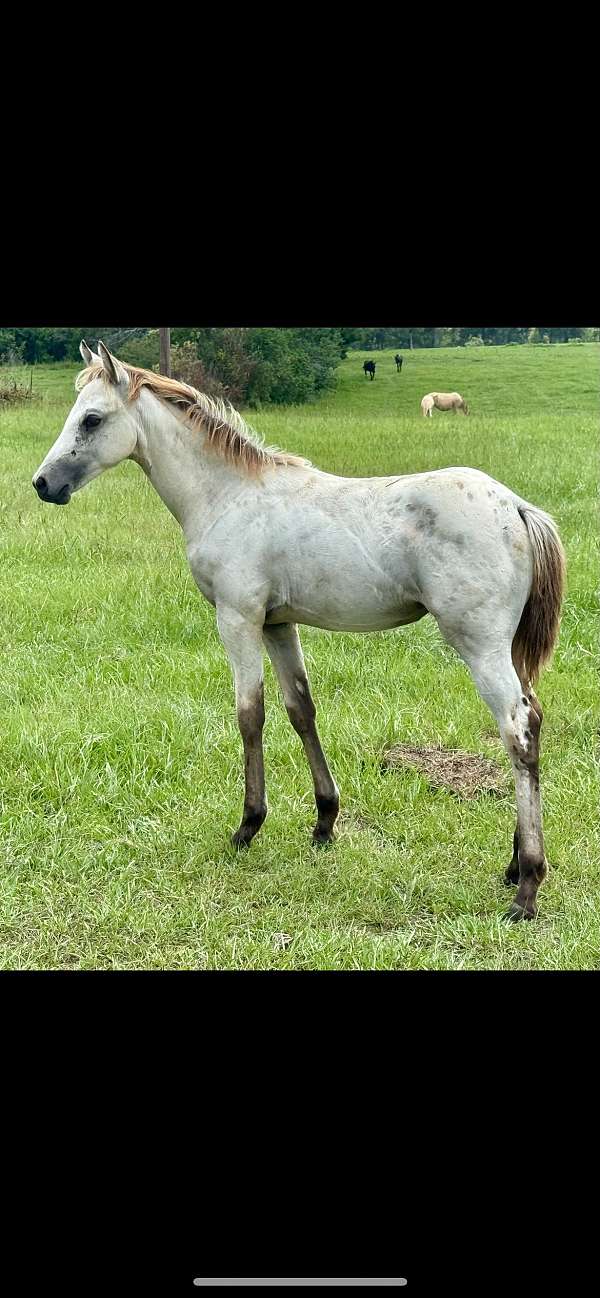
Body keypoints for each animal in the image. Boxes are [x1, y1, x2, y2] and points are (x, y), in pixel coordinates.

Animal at [33, 340, 566, 918]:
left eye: (91, 419)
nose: (43, 484)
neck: (228, 495)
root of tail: (516, 506)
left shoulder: (237, 618)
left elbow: (250, 714)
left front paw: (247, 826)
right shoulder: (278, 624)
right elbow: (300, 710)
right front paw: (324, 821)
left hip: (480, 643)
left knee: (517, 729)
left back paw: (527, 885)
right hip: (508, 648)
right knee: (533, 719)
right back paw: (513, 864)